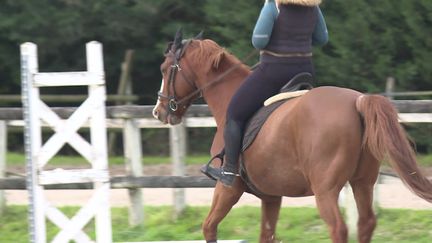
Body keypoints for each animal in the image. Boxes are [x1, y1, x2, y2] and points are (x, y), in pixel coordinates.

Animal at [153, 32, 432, 243]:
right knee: (365, 224)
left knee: (338, 228)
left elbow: (209, 227)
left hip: (326, 190)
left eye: (165, 69)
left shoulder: (228, 188)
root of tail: (357, 100)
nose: (159, 111)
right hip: (362, 183)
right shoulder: (271, 196)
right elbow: (266, 235)